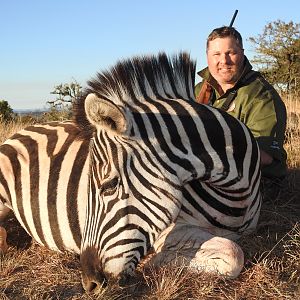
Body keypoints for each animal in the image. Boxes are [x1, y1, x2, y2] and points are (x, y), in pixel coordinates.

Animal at [0, 52, 260, 292]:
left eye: (109, 186)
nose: (90, 283)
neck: (236, 196)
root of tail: (22, 130)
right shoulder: (169, 232)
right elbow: (233, 254)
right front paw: (153, 261)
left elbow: (233, 251)